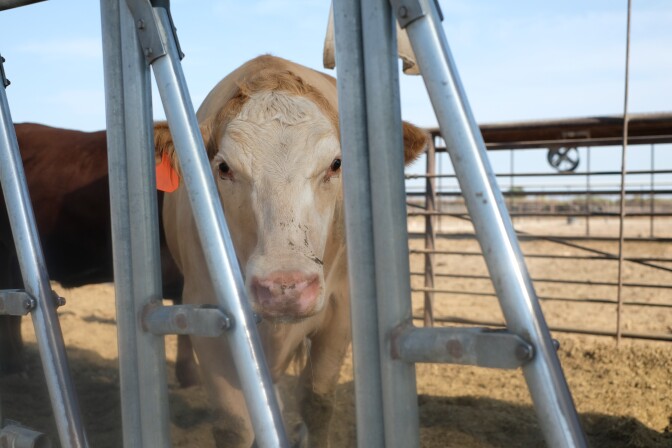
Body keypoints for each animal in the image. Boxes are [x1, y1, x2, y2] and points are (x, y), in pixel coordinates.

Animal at [156, 55, 428, 447]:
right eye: (223, 167)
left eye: (336, 164)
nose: (285, 287)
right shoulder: (205, 313)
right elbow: (234, 422)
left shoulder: (340, 312)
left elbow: (317, 402)